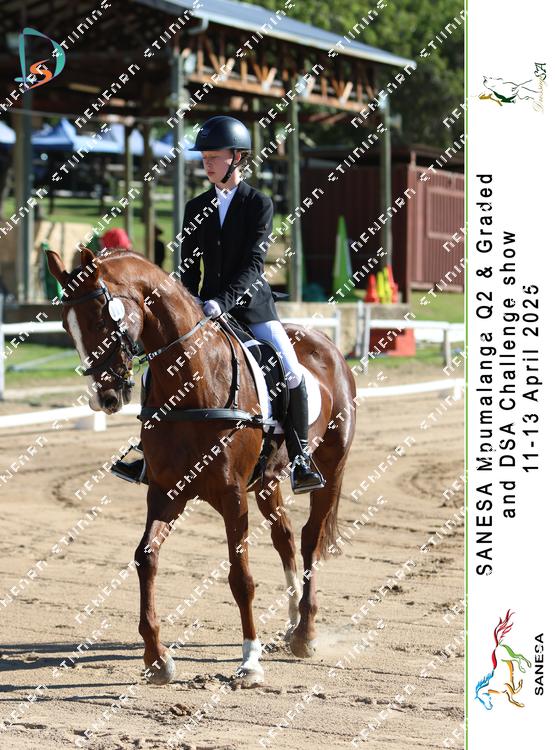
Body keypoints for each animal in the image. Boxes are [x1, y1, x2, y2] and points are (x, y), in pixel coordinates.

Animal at [46, 246, 357, 687]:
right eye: (65, 325)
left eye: (101, 319)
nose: (103, 398)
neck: (191, 383)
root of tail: (326, 344)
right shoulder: (166, 491)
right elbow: (145, 557)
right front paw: (157, 659)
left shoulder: (231, 495)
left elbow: (240, 577)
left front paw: (250, 663)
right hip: (267, 481)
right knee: (284, 537)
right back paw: (292, 621)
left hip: (330, 467)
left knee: (310, 538)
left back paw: (306, 634)